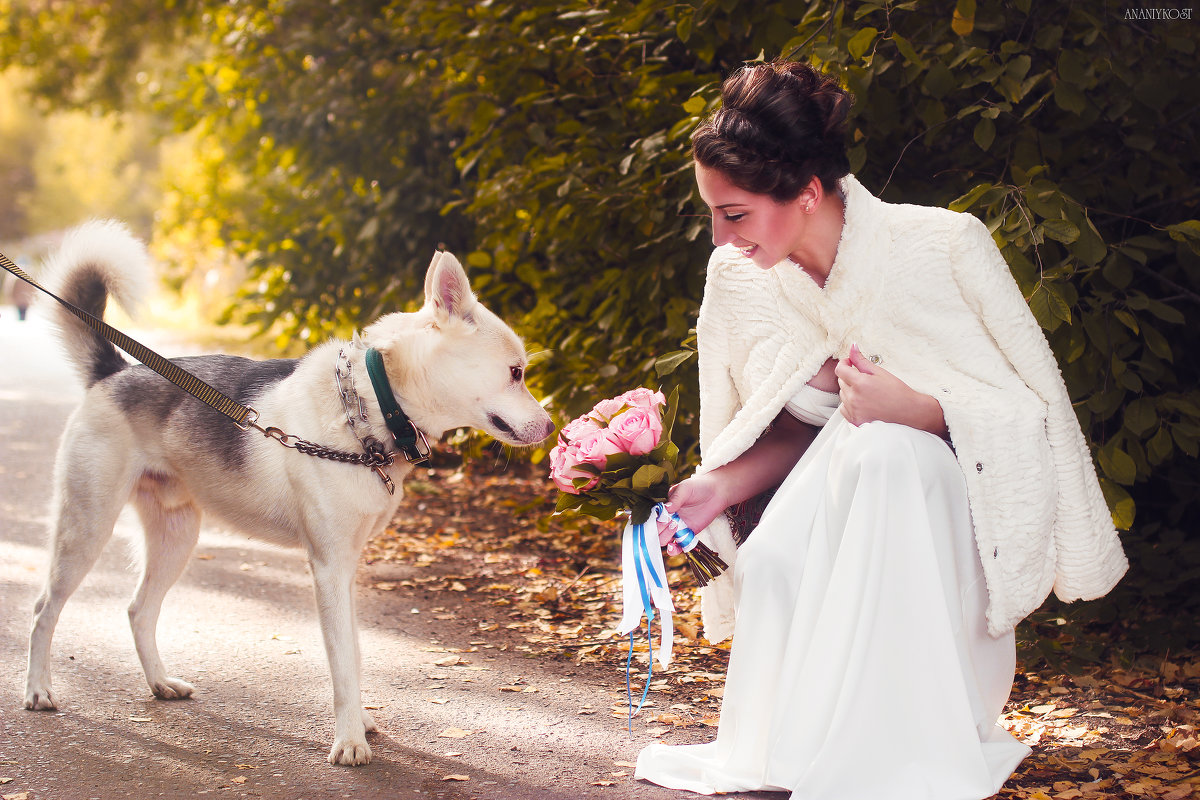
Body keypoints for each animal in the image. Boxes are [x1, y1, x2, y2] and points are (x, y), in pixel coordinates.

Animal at [22, 221, 556, 767]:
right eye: (516, 372)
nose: (553, 428)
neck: (370, 407)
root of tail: (114, 372)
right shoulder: (328, 568)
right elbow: (342, 663)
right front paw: (350, 741)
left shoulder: (347, 569)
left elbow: (354, 655)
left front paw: (360, 724)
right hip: (87, 529)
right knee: (44, 610)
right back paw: (39, 690)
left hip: (176, 538)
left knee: (138, 611)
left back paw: (160, 684)